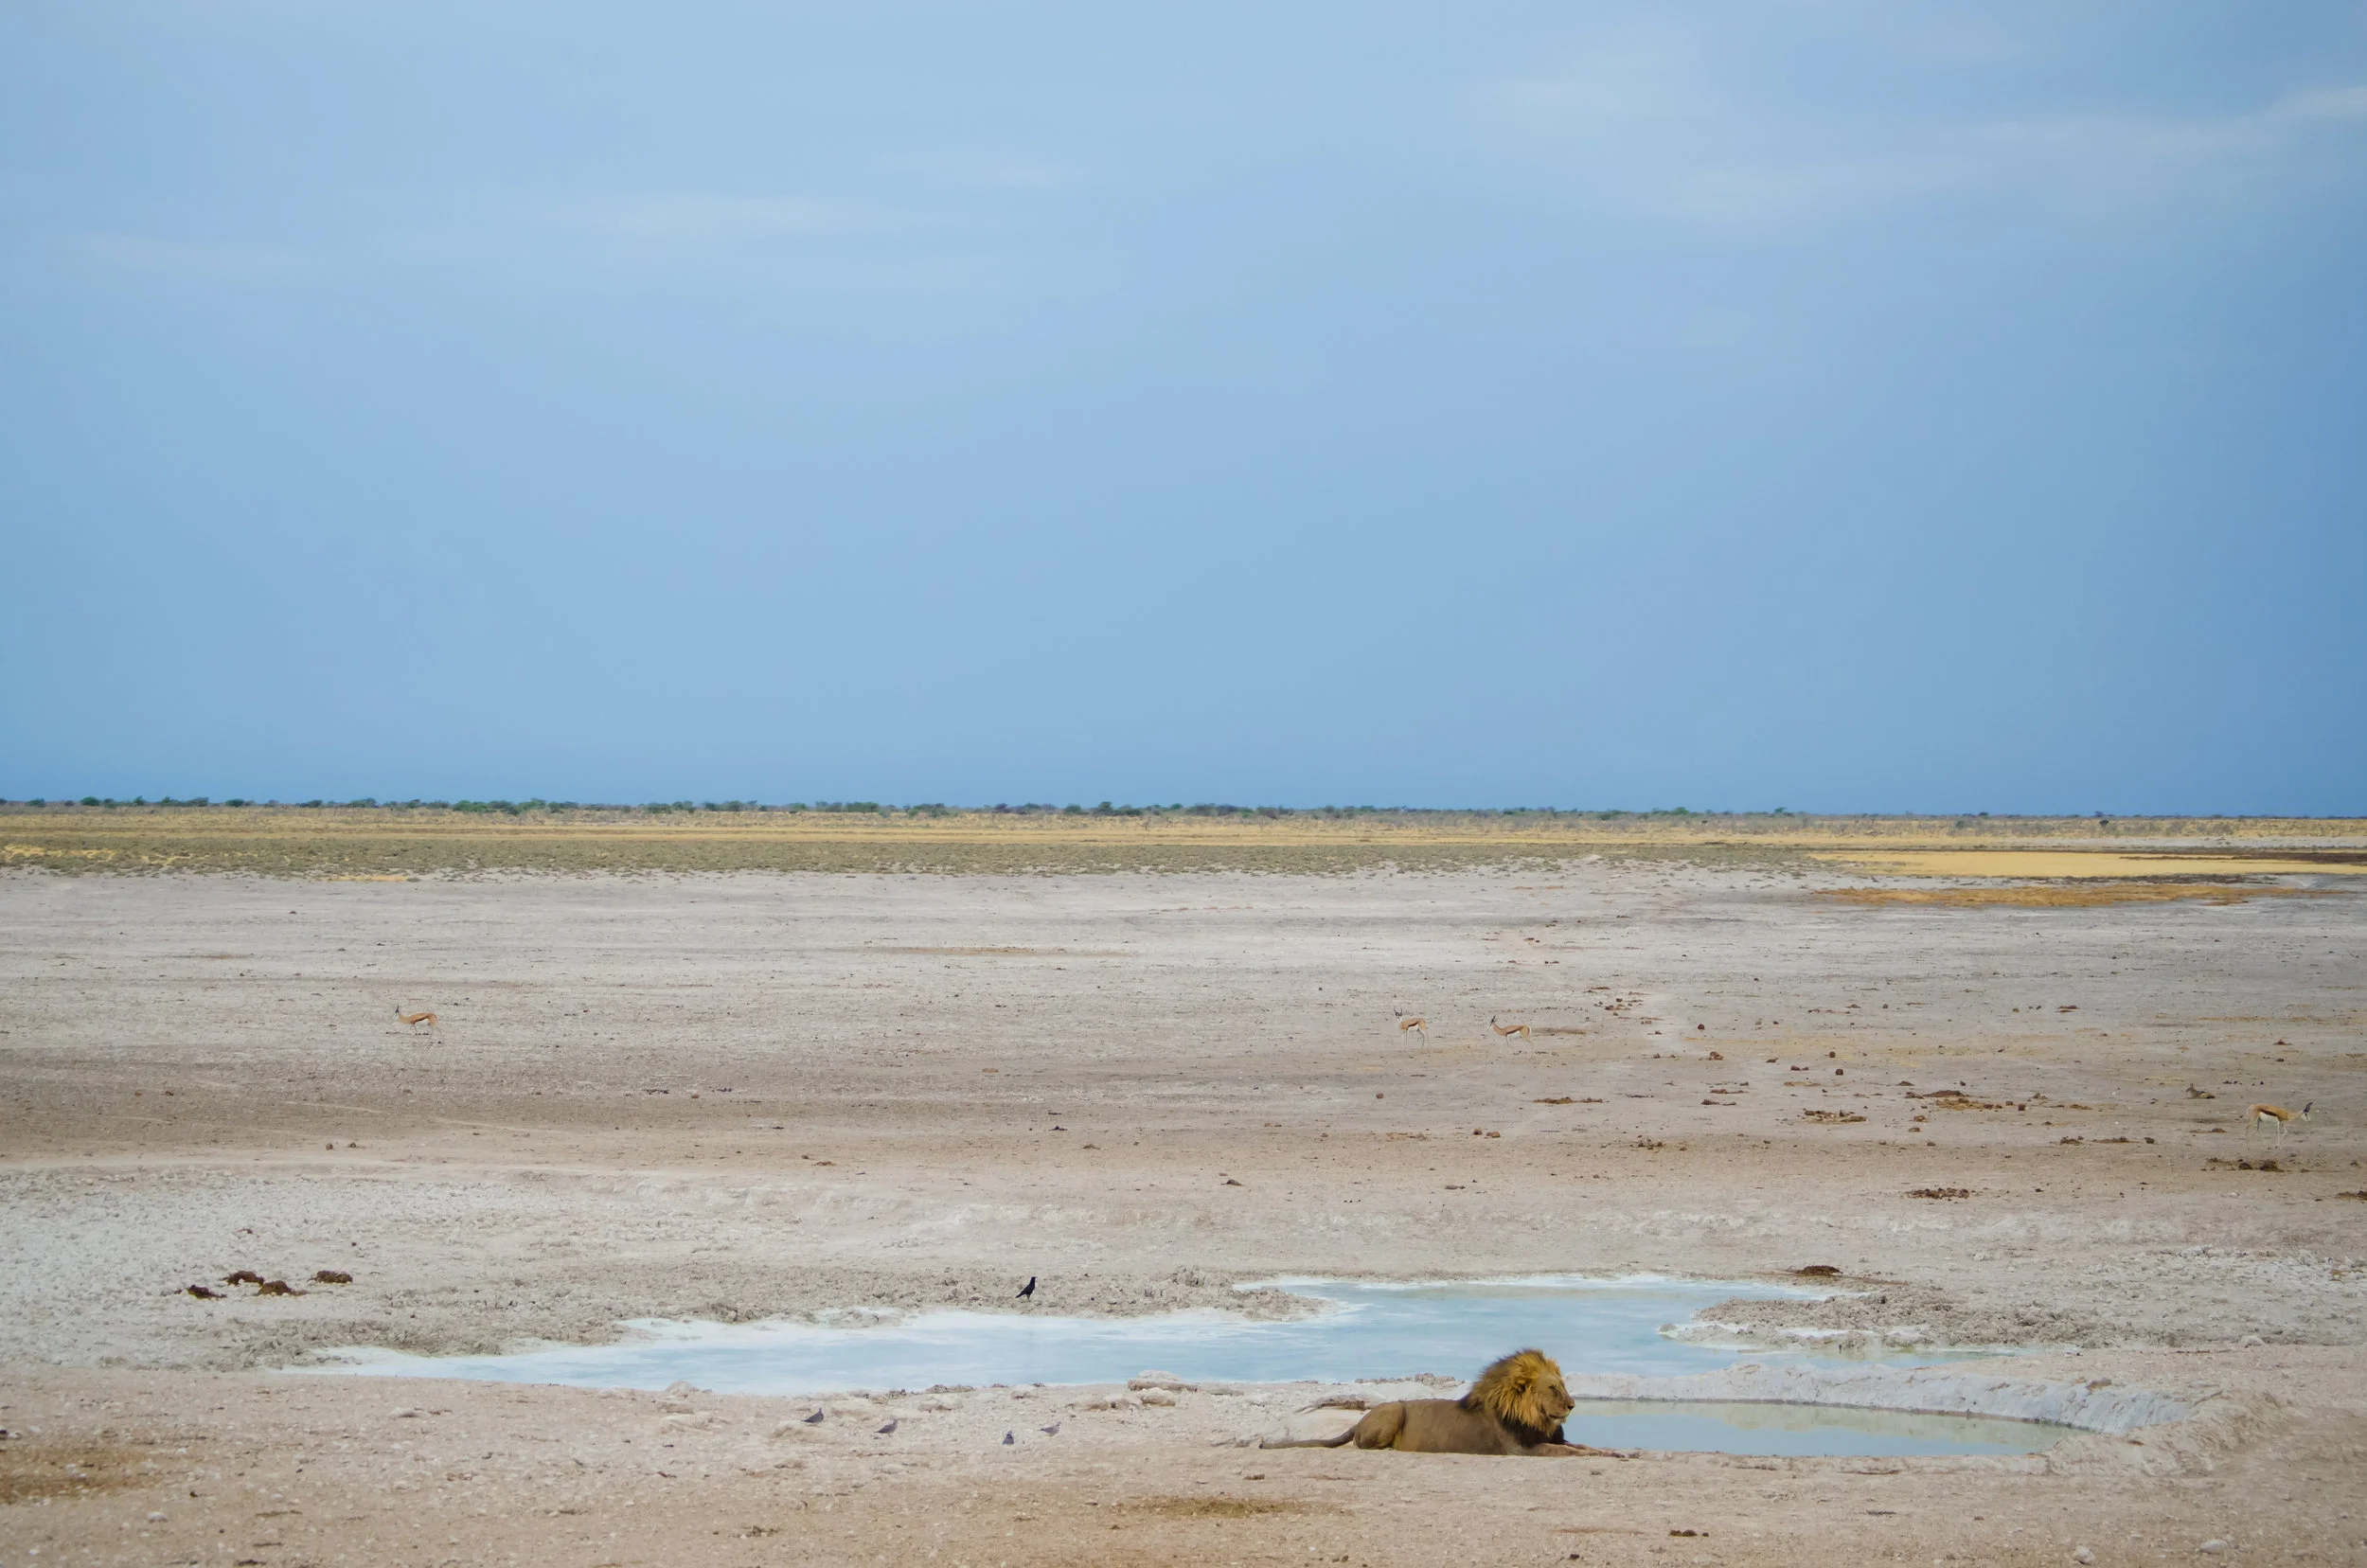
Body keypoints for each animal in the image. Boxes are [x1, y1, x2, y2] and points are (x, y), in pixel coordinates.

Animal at [1260, 1349, 1596, 1456]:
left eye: (1564, 1386)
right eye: (1553, 1388)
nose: (1572, 1405)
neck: (1537, 1418)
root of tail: (1360, 1420)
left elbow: (1581, 1447)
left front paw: (1609, 1452)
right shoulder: (1522, 1450)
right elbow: (1568, 1452)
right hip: (1394, 1409)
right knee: (1362, 1445)